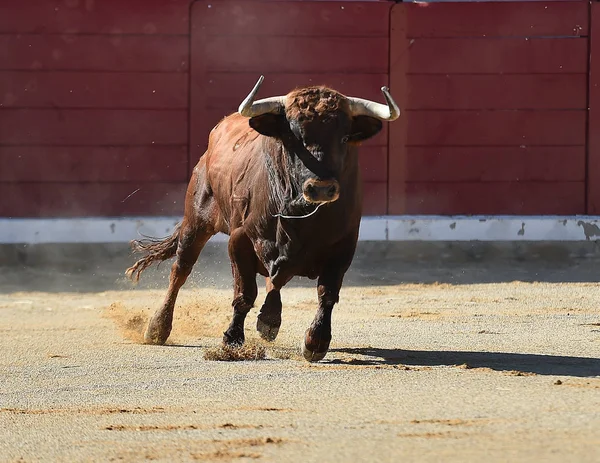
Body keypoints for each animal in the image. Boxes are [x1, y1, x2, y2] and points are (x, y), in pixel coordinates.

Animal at [126, 76, 398, 362]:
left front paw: (315, 341)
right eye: (292, 136)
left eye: (345, 137)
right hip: (196, 220)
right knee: (181, 269)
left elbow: (327, 294)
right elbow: (244, 293)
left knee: (274, 280)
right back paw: (158, 327)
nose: (322, 189)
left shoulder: (343, 247)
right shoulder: (239, 240)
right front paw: (232, 339)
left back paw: (270, 320)